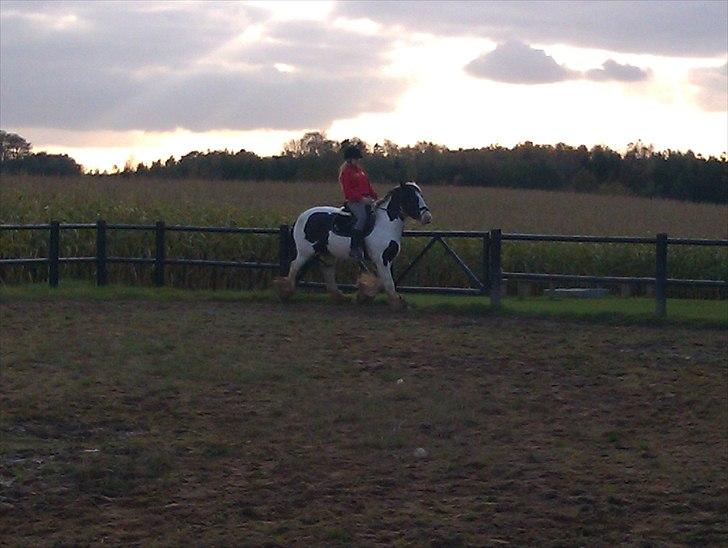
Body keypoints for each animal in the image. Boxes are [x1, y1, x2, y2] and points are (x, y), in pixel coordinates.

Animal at [274, 181, 432, 306]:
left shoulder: (386, 260)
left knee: (328, 272)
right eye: (411, 197)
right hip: (304, 252)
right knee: (294, 267)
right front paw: (396, 302)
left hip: (327, 254)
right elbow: (388, 281)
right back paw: (285, 291)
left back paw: (339, 297)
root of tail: (301, 216)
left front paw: (365, 295)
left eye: (421, 196)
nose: (427, 217)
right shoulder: (382, 260)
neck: (386, 224)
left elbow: (384, 280)